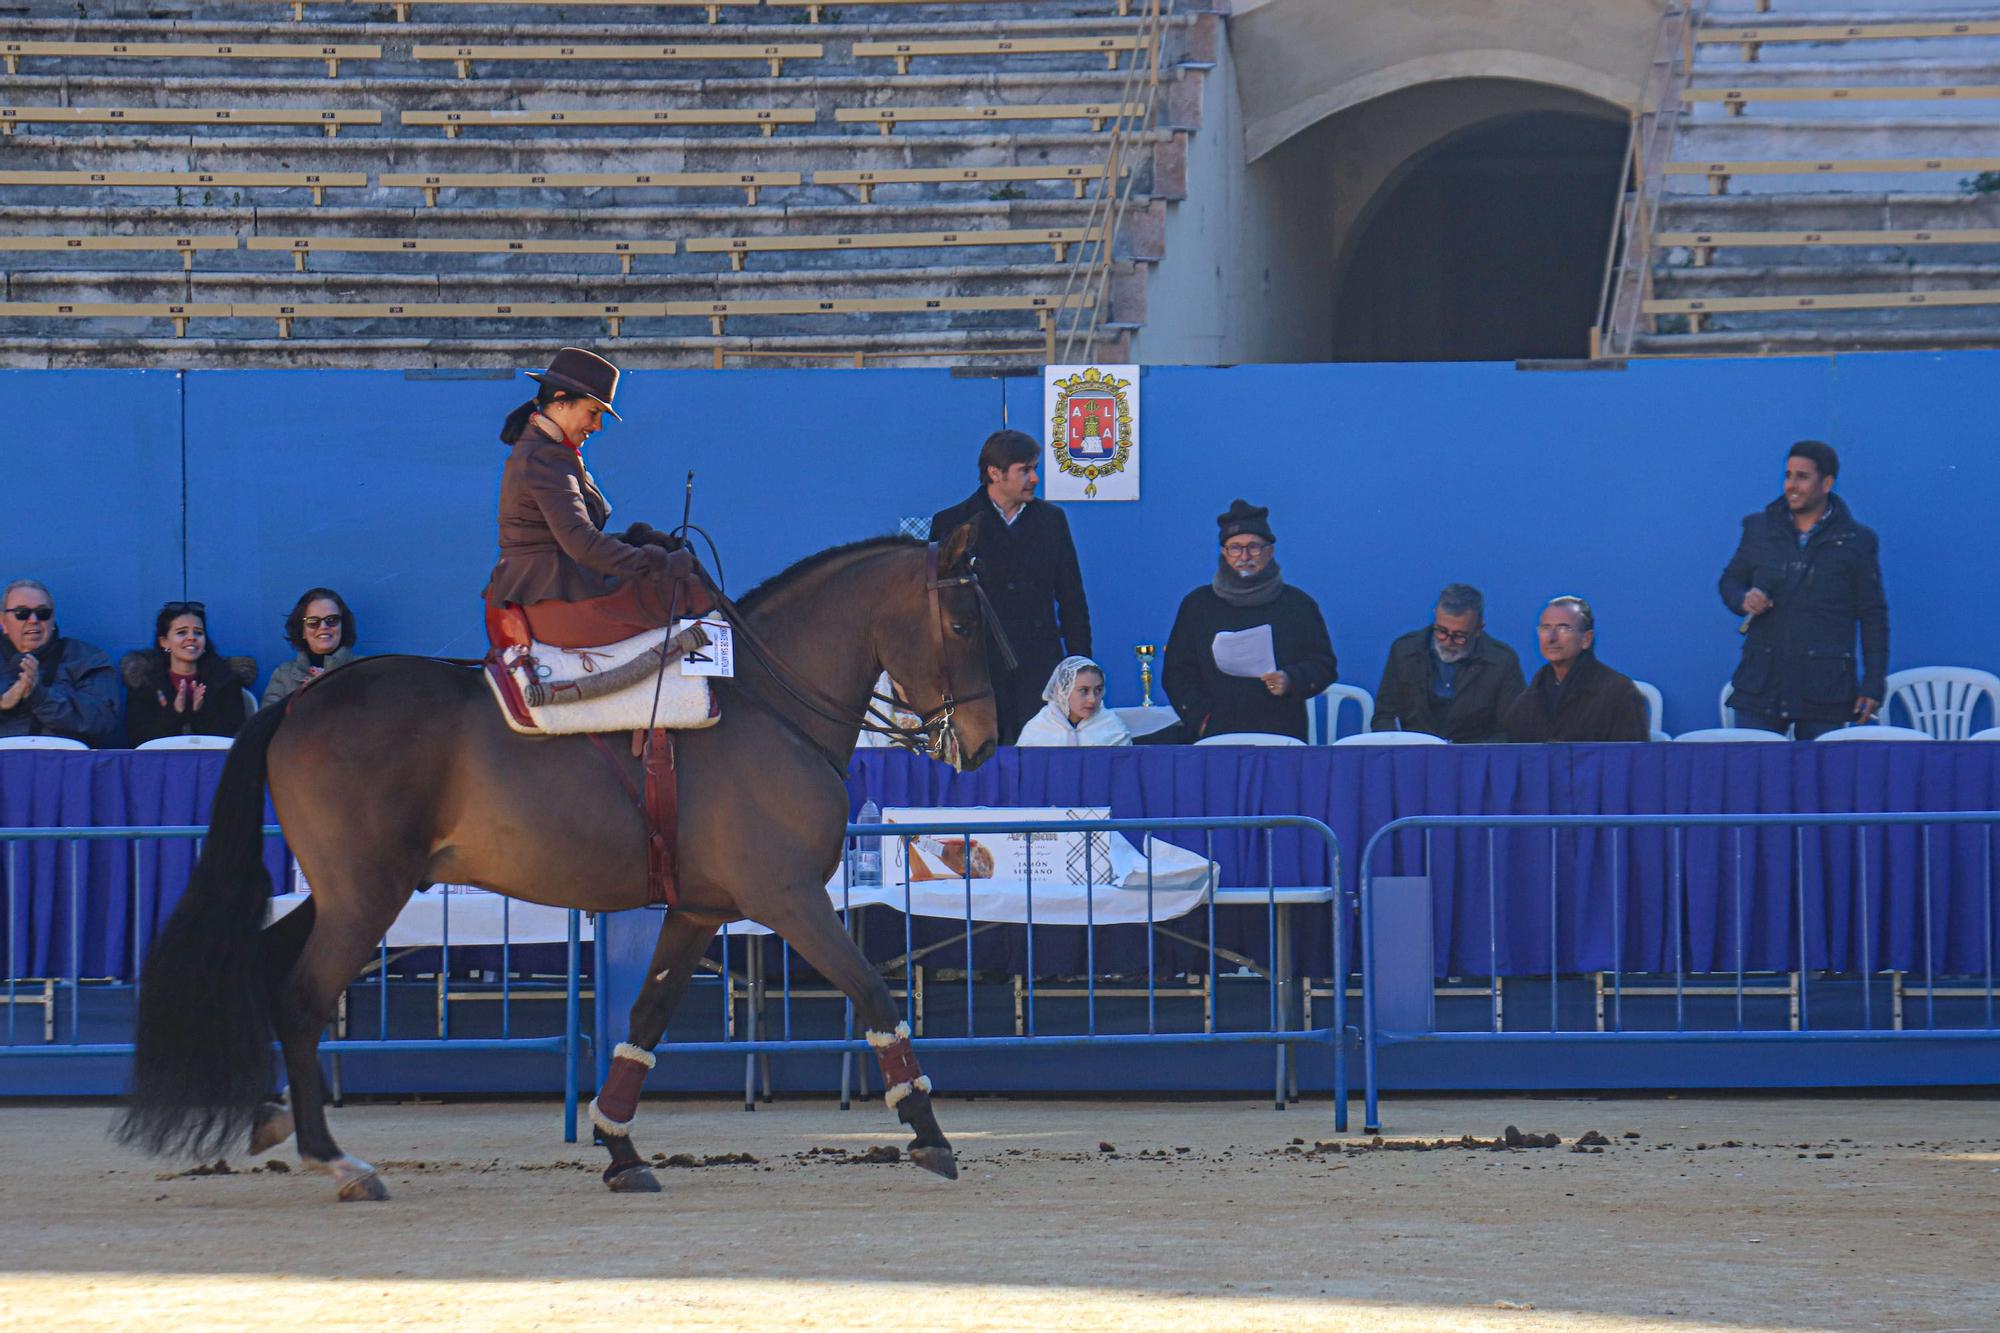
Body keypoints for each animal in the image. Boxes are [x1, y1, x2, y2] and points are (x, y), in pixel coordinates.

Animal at [113, 520, 1000, 1192]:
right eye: (963, 625)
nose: (985, 740)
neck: (765, 703)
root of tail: (302, 699)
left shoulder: (697, 909)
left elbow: (644, 1020)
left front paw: (619, 1147)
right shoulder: (788, 897)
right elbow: (872, 990)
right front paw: (928, 1130)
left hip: (342, 890)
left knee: (265, 961)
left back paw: (273, 1115)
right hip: (367, 894)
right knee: (300, 995)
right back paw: (337, 1159)